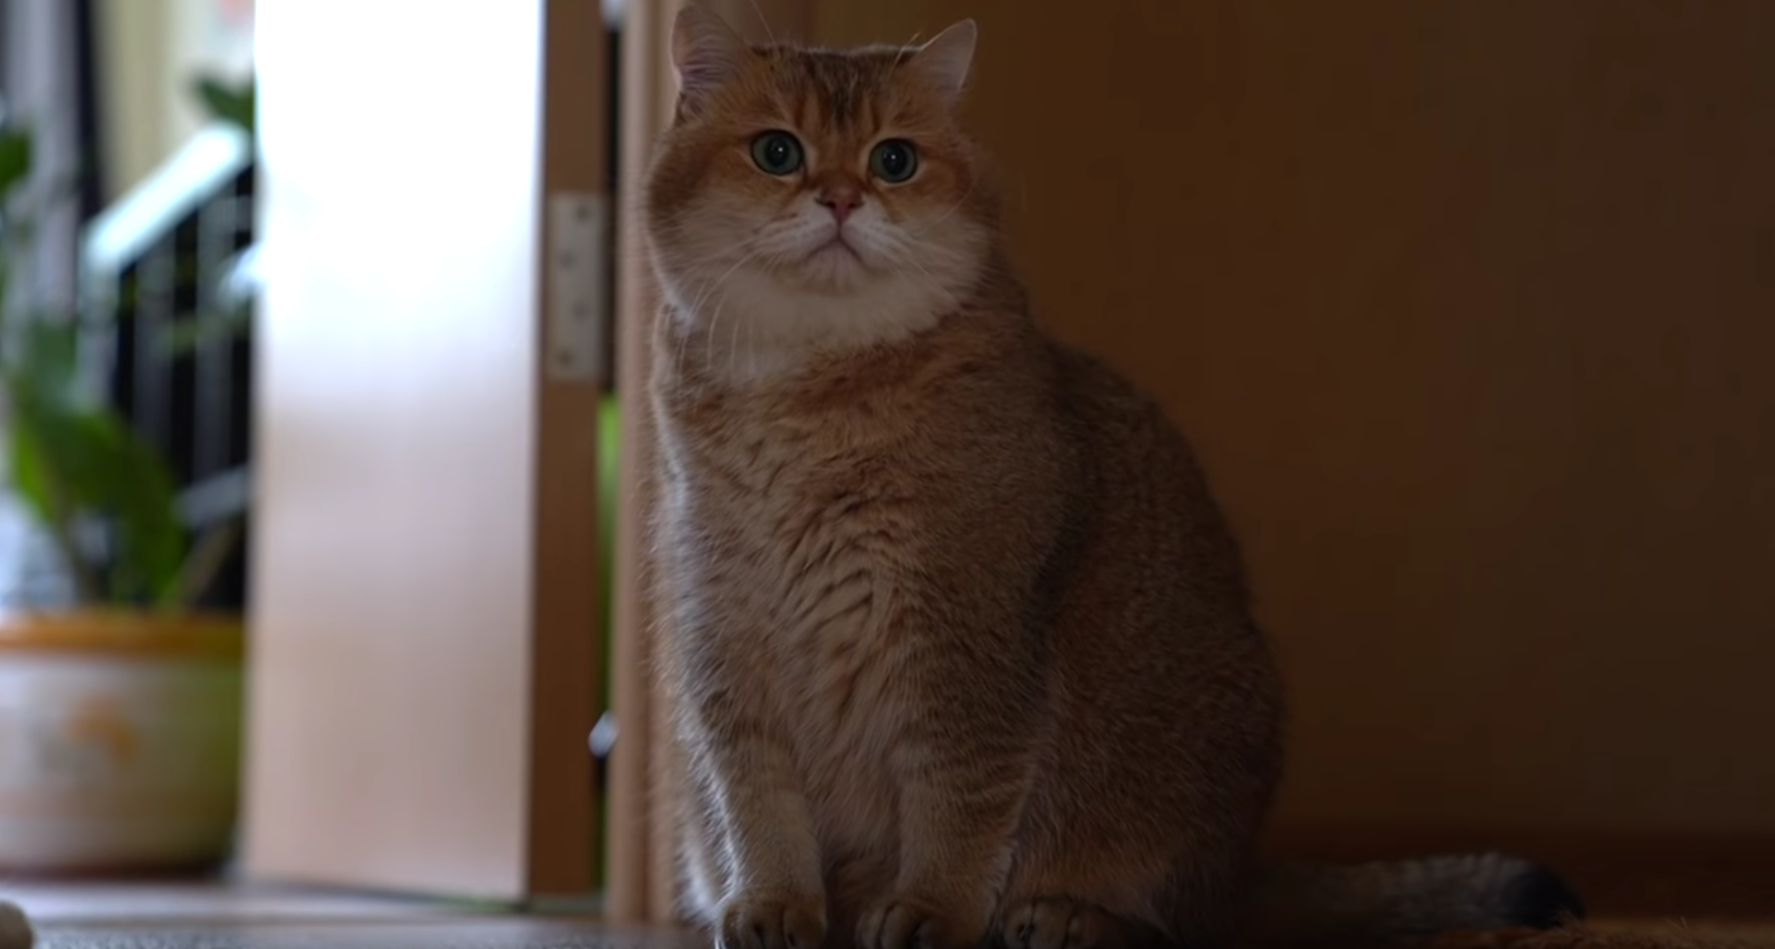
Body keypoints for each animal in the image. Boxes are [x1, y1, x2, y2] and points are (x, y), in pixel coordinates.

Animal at [646, 7, 1590, 949]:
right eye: (777, 151)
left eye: (894, 160)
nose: (842, 198)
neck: (810, 391)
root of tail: (1244, 868)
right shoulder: (723, 626)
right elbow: (754, 792)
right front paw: (775, 901)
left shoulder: (970, 635)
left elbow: (959, 796)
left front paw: (931, 908)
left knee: (1176, 917)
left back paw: (1070, 913)